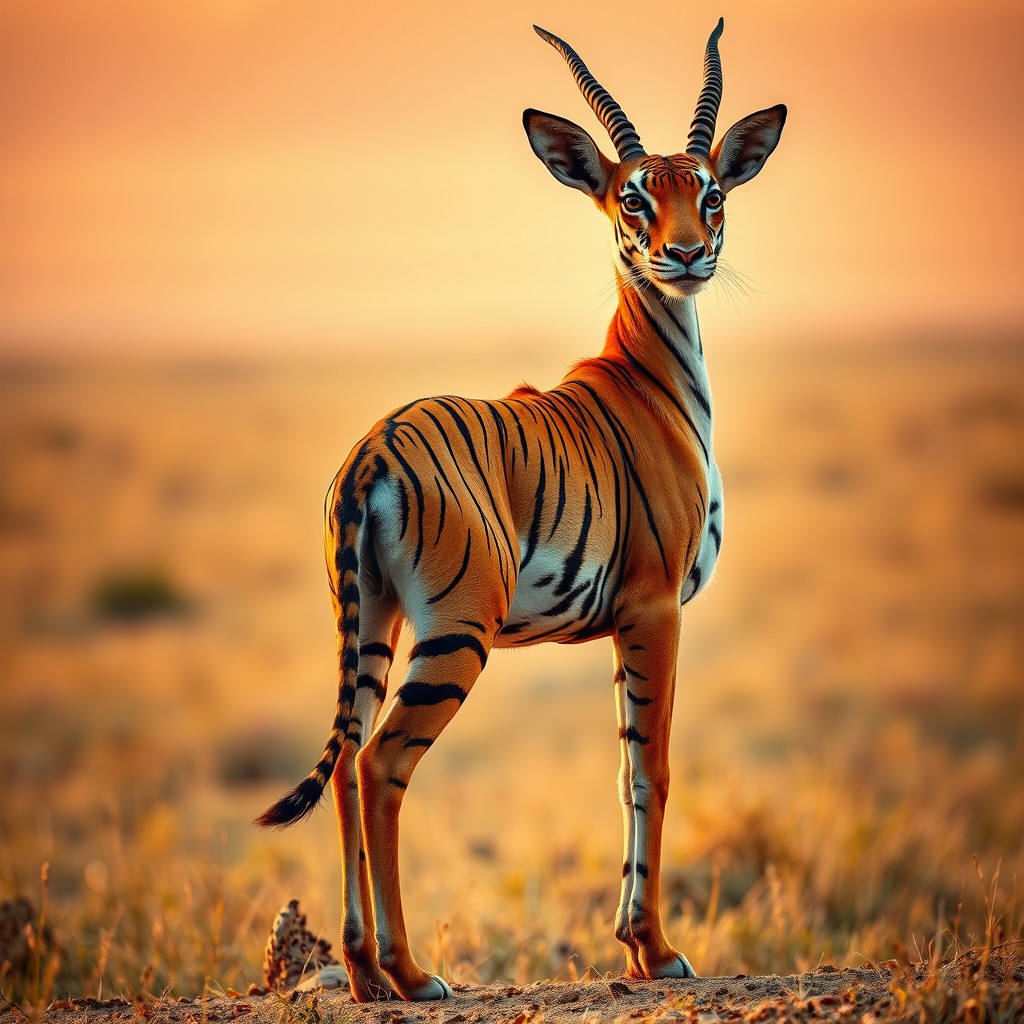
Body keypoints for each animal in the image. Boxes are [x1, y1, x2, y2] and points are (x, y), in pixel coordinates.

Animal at [258, 18, 786, 1003]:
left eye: (710, 192)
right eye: (632, 200)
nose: (687, 255)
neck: (651, 384)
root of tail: (373, 448)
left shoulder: (626, 624)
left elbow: (622, 769)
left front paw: (634, 944)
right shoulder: (656, 610)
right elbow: (653, 767)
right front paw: (657, 951)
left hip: (373, 625)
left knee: (345, 758)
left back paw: (362, 972)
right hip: (456, 634)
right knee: (383, 762)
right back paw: (412, 972)